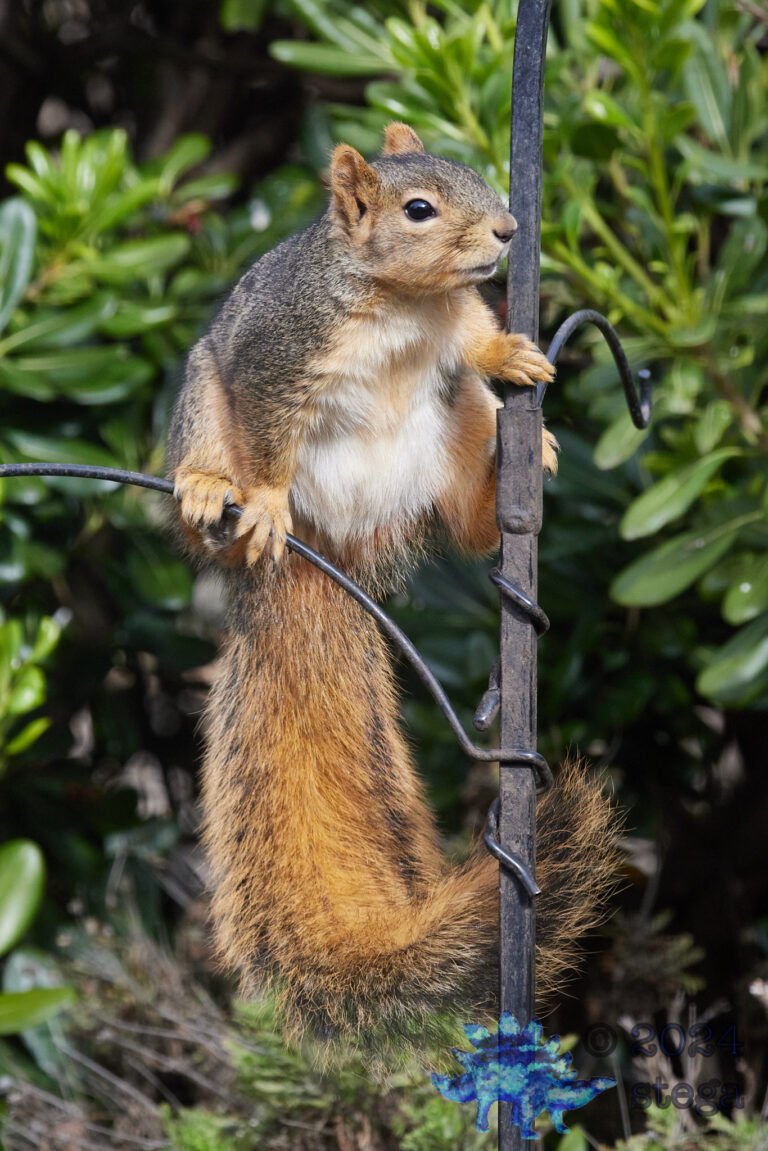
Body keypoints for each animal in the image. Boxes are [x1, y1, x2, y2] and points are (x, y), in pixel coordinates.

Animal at [167, 123, 620, 1049]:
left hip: (455, 427)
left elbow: (476, 337)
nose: (508, 231)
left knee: (475, 518)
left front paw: (512, 349)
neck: (407, 305)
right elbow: (269, 436)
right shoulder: (278, 356)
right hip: (203, 401)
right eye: (418, 210)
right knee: (217, 484)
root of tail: (332, 539)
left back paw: (514, 467)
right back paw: (209, 495)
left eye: (474, 172)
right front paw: (263, 498)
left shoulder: (456, 323)